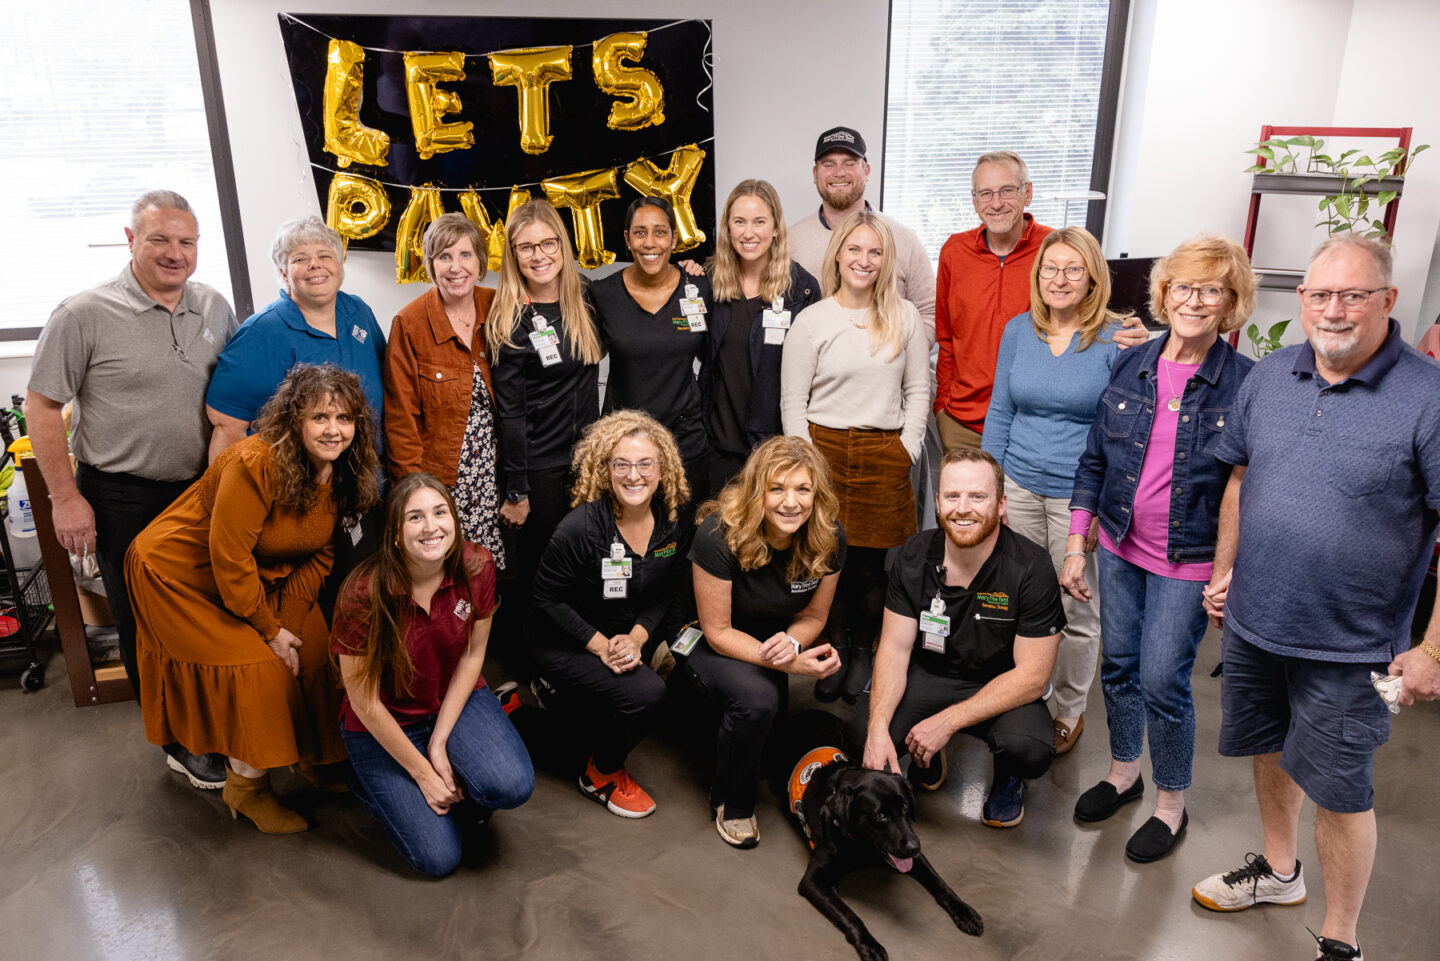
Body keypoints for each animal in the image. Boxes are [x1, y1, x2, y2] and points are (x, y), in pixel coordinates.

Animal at [794, 749, 984, 961]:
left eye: (905, 807)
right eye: (880, 816)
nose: (914, 847)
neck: (860, 844)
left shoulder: (915, 858)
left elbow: (939, 882)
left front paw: (964, 911)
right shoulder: (813, 880)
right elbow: (850, 915)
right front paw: (870, 944)